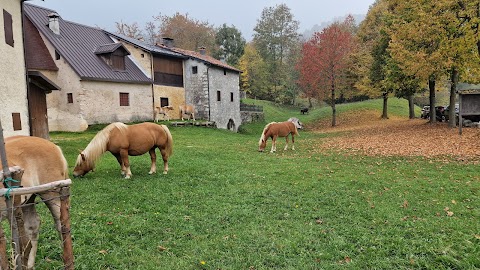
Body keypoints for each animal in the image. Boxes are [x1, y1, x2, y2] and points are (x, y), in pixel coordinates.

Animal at [0, 135, 69, 268]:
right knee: (32, 227)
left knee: (61, 226)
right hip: (27, 201)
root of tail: (54, 146)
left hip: (52, 195)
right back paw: (29, 265)